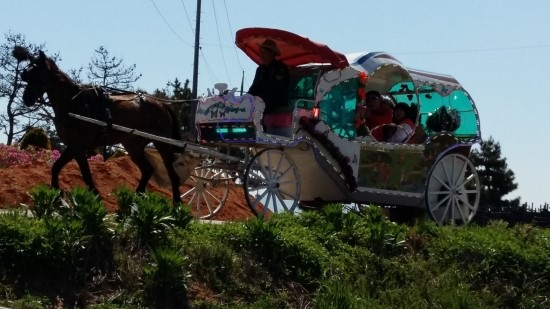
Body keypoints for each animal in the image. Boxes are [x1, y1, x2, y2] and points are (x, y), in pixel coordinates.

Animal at [12, 47, 185, 202]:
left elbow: (67, 169)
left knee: (172, 175)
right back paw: (136, 198)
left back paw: (176, 206)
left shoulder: (77, 146)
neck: (74, 103)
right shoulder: (75, 148)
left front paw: (60, 195)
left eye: (36, 74)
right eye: (26, 75)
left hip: (162, 143)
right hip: (132, 145)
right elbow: (76, 172)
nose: (26, 99)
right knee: (147, 170)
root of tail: (162, 104)